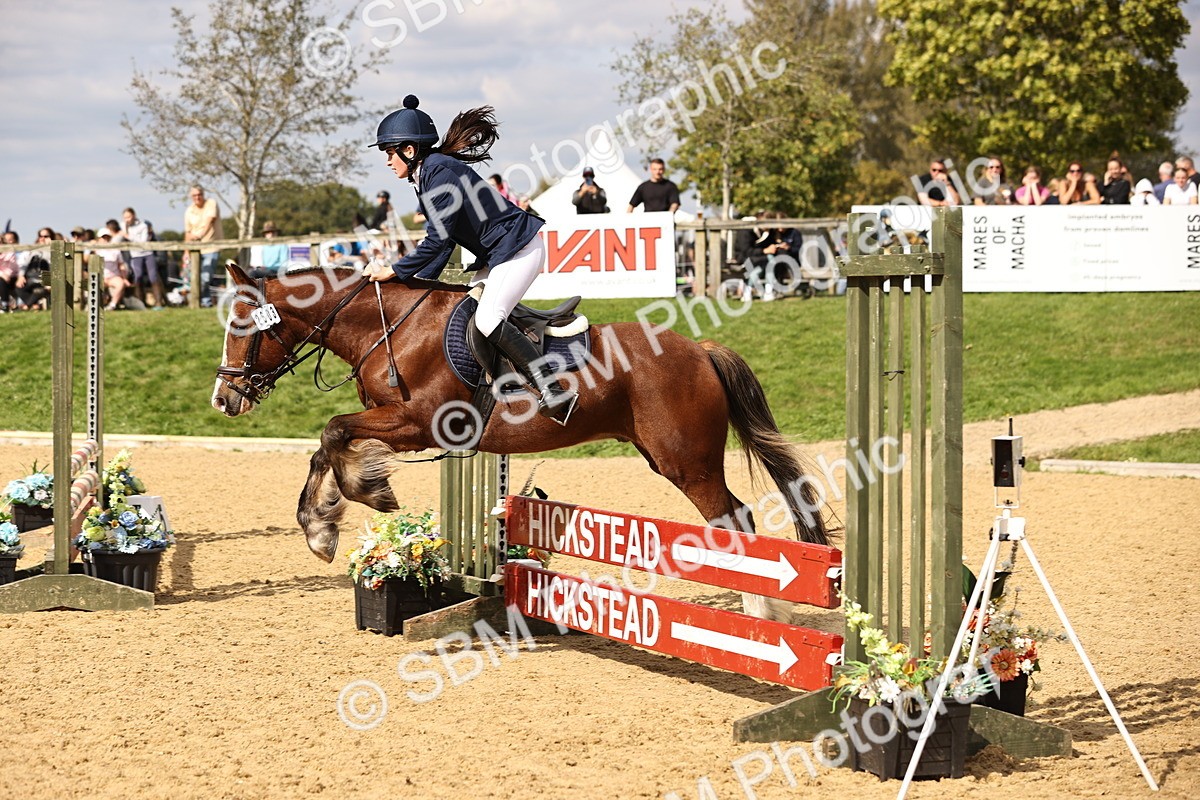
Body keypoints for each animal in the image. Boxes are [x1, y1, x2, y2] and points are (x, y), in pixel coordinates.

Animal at [212, 263, 829, 620]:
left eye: (241, 327)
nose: (224, 399)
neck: (387, 328)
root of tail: (700, 349)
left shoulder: (419, 421)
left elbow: (334, 431)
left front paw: (365, 496)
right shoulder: (398, 421)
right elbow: (328, 444)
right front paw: (322, 523)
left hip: (688, 462)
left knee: (735, 519)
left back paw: (759, 619)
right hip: (668, 458)